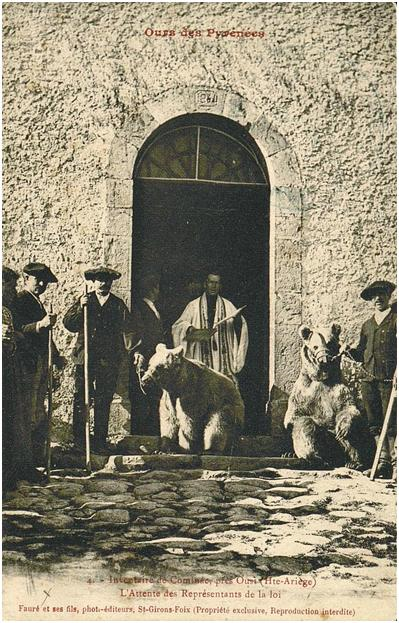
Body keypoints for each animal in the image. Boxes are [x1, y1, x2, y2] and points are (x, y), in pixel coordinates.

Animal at [284, 324, 376, 470]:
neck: (322, 377)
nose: (324, 359)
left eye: (330, 343)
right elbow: (295, 417)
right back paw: (314, 459)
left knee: (355, 434)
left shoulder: (339, 390)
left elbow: (348, 409)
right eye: (315, 346)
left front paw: (344, 428)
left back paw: (355, 462)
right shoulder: (303, 391)